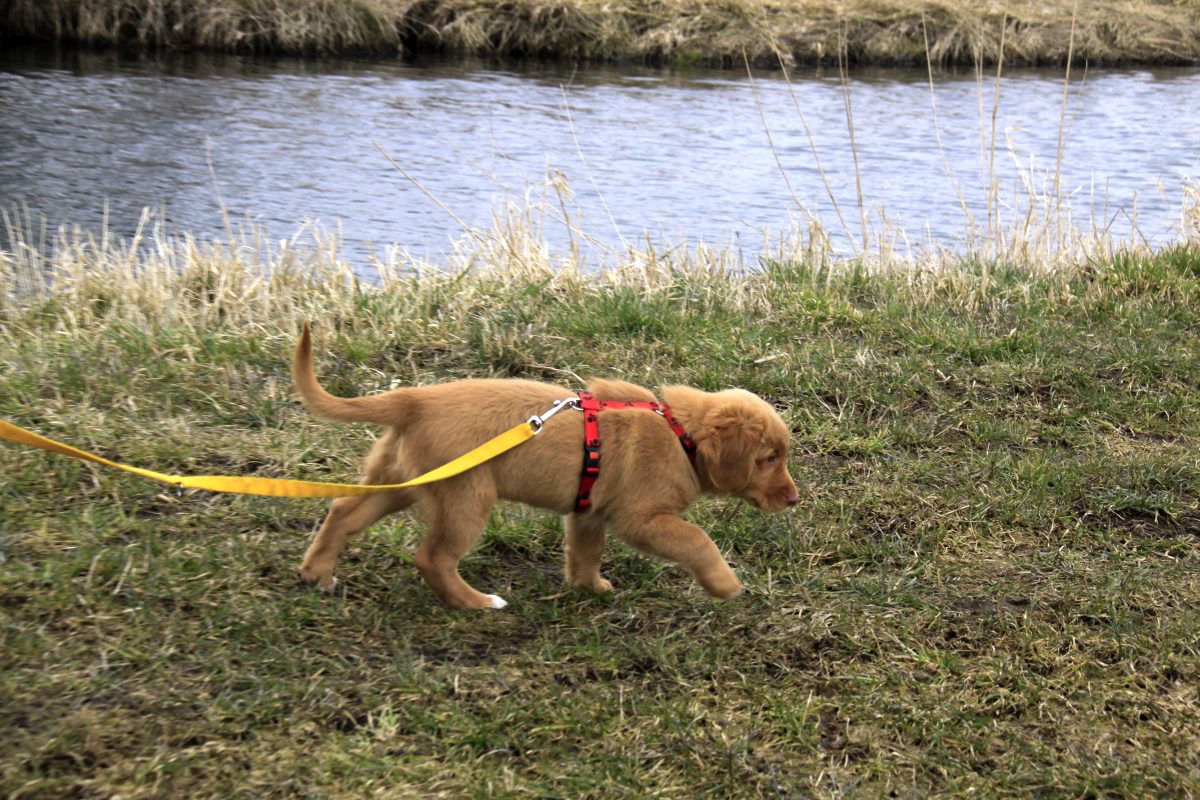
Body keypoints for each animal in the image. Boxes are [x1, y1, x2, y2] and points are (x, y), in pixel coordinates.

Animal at [292, 325, 799, 609]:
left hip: (404, 479)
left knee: (343, 511)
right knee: (432, 557)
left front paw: (590, 587)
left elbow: (585, 551)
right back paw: (476, 604)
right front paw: (725, 585)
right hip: (465, 496)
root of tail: (414, 400)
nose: (795, 499)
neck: (681, 433)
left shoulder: (589, 511)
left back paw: (318, 573)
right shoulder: (642, 518)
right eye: (769, 459)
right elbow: (697, 540)